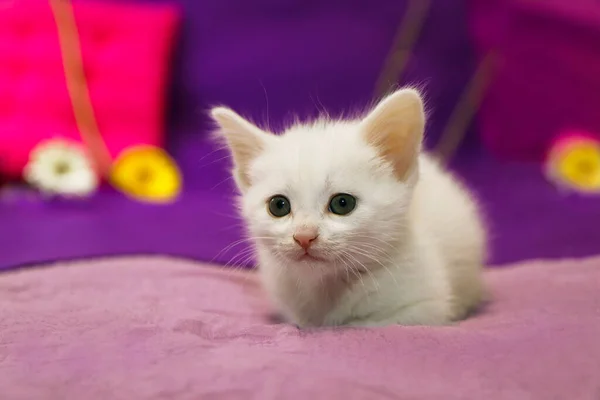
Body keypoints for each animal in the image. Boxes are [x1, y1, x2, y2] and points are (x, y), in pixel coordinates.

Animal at [213, 89, 486, 326]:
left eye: (342, 203)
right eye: (278, 206)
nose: (304, 236)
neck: (326, 290)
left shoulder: (425, 307)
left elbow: (368, 324)